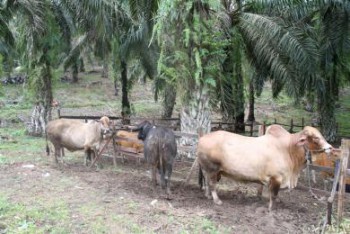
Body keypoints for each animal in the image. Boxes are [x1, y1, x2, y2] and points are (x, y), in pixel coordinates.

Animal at [198, 125, 332, 211]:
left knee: (206, 182)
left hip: (207, 170)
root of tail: (202, 138)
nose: (330, 147)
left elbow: (274, 195)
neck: (288, 149)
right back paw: (217, 200)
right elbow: (274, 194)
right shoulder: (276, 178)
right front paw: (271, 209)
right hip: (213, 169)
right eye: (316, 138)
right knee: (212, 184)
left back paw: (208, 195)